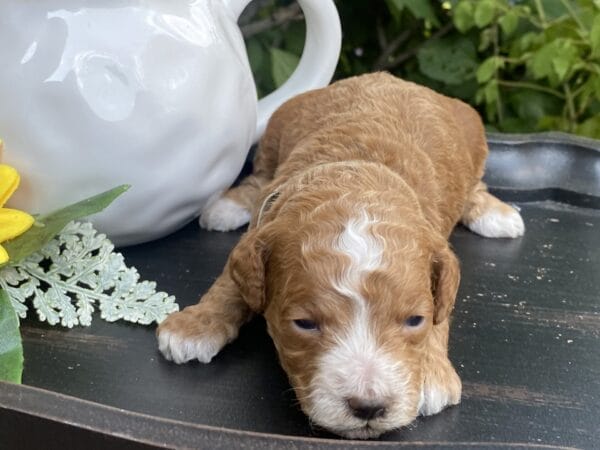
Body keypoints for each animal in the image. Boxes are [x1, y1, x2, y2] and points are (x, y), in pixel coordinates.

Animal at [156, 74, 524, 440]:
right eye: (305, 324)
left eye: (415, 320)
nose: (369, 407)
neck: (355, 177)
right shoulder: (260, 228)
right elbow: (229, 283)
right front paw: (193, 327)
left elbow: (442, 312)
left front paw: (432, 374)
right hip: (278, 127)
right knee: (258, 173)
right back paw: (228, 206)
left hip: (474, 138)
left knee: (475, 185)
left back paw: (496, 214)